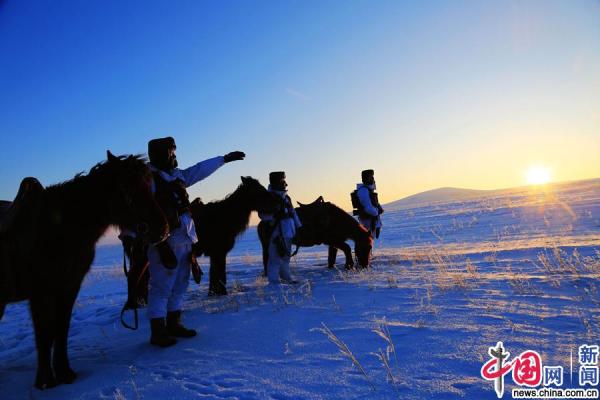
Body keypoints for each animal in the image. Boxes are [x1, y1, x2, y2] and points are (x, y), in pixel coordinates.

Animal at [0, 152, 169, 390]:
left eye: (148, 185)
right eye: (127, 188)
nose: (162, 229)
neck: (58, 229)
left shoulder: (69, 287)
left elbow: (61, 329)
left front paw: (65, 373)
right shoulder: (41, 294)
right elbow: (44, 334)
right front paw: (45, 382)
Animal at [122, 176, 276, 306]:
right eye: (258, 190)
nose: (275, 203)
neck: (225, 216)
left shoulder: (216, 254)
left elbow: (215, 274)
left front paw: (214, 293)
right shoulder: (219, 252)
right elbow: (219, 274)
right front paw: (221, 293)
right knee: (134, 278)